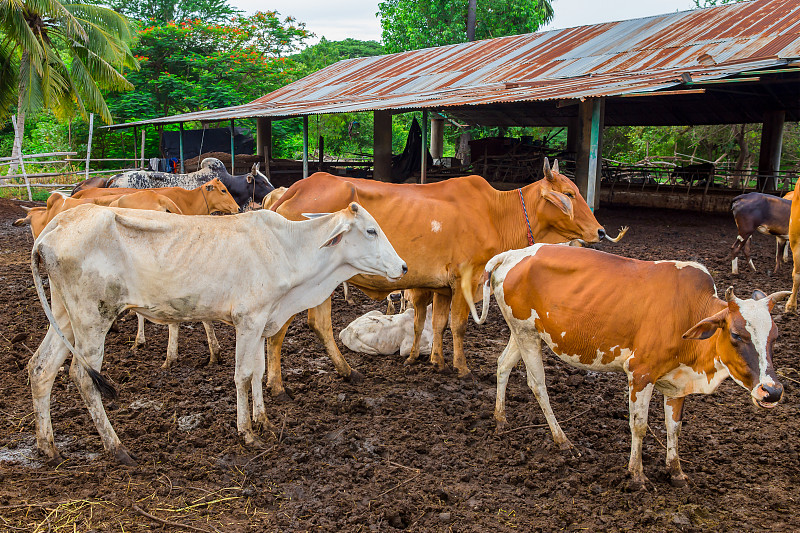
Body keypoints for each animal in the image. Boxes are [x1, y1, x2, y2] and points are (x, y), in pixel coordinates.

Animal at [29, 202, 406, 464]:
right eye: (371, 231)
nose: (403, 267)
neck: (286, 249)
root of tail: (53, 228)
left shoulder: (260, 321)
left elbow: (258, 372)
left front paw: (263, 421)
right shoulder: (248, 319)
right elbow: (242, 375)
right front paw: (247, 433)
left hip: (64, 317)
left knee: (41, 368)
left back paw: (48, 447)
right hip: (93, 317)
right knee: (82, 376)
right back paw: (116, 447)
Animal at [468, 243, 788, 488]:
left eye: (775, 336)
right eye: (736, 334)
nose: (772, 391)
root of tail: (514, 253)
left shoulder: (677, 384)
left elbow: (674, 428)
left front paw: (677, 472)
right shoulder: (640, 373)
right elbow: (640, 426)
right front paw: (636, 475)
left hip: (522, 332)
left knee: (503, 365)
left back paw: (500, 419)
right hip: (525, 332)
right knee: (537, 384)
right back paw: (562, 441)